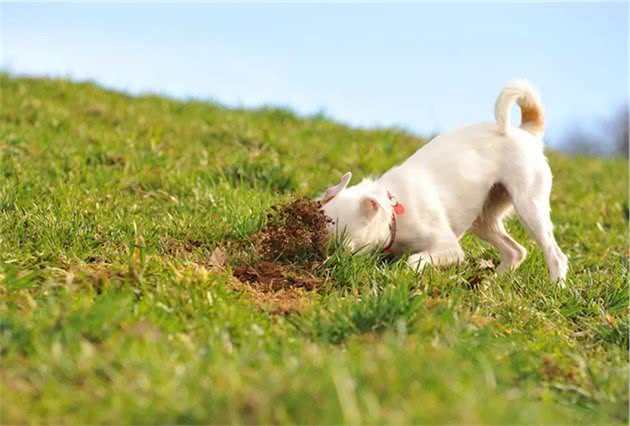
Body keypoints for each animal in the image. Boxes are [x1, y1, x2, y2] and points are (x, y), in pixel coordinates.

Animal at [324, 80, 572, 282]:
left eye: (339, 239)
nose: (324, 258)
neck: (394, 212)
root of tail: (526, 132)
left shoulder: (450, 248)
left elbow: (415, 259)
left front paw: (410, 269)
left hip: (529, 208)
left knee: (555, 255)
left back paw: (556, 286)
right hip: (484, 218)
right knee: (516, 251)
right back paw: (493, 282)